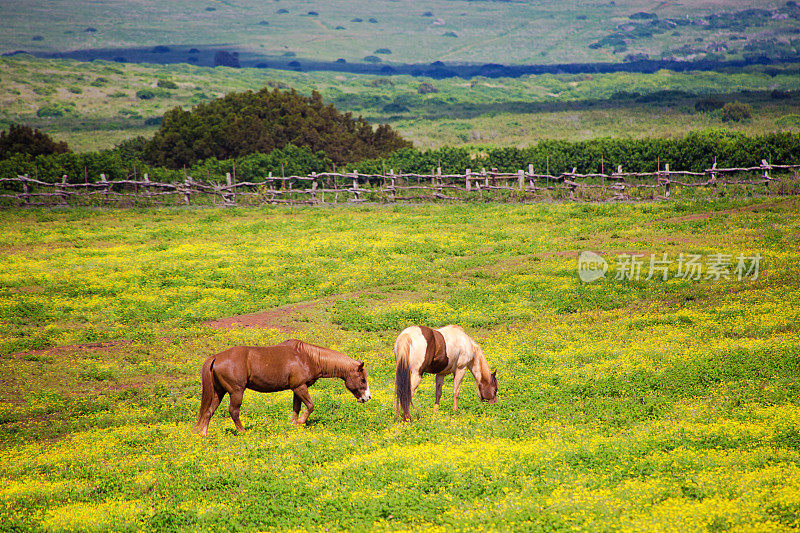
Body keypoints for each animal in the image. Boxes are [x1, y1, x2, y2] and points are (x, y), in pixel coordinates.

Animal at [194, 338, 372, 434]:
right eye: (363, 379)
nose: (367, 398)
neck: (307, 357)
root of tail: (216, 357)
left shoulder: (297, 388)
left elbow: (296, 408)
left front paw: (294, 424)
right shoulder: (300, 387)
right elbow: (310, 406)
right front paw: (301, 422)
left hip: (219, 392)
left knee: (209, 411)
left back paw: (203, 433)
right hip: (236, 392)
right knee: (233, 411)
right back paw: (242, 431)